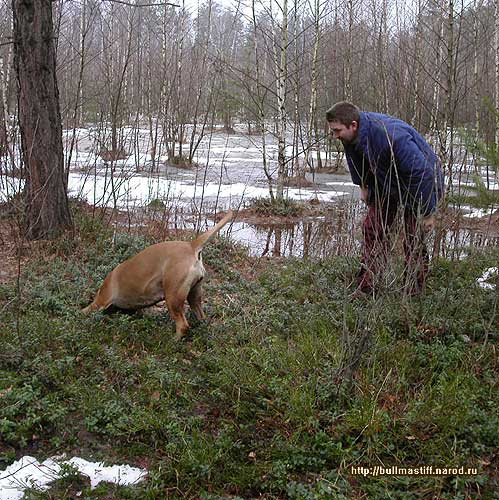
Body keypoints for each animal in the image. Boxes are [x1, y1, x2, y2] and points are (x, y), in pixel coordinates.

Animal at [83, 209, 235, 338]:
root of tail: (191, 246)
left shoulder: (100, 302)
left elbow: (85, 310)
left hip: (173, 298)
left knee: (183, 325)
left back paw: (173, 341)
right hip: (194, 295)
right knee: (200, 317)